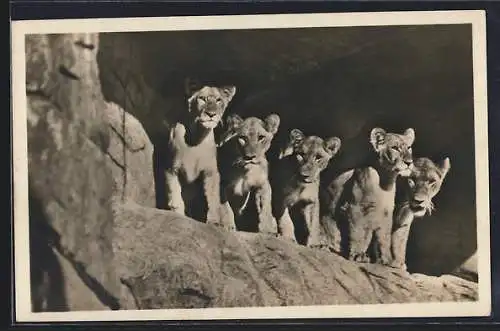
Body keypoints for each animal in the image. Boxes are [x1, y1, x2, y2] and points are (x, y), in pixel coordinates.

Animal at [158, 79, 238, 232]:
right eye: (202, 99)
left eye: (218, 100)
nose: (211, 114)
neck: (197, 137)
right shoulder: (171, 168)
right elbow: (175, 195)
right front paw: (178, 216)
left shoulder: (211, 172)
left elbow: (213, 199)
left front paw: (214, 222)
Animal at [318, 128, 416, 266]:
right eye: (395, 148)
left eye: (409, 147)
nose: (409, 162)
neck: (385, 181)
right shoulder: (355, 208)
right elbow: (358, 233)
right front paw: (358, 255)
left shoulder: (386, 214)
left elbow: (384, 238)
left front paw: (387, 259)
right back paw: (325, 246)